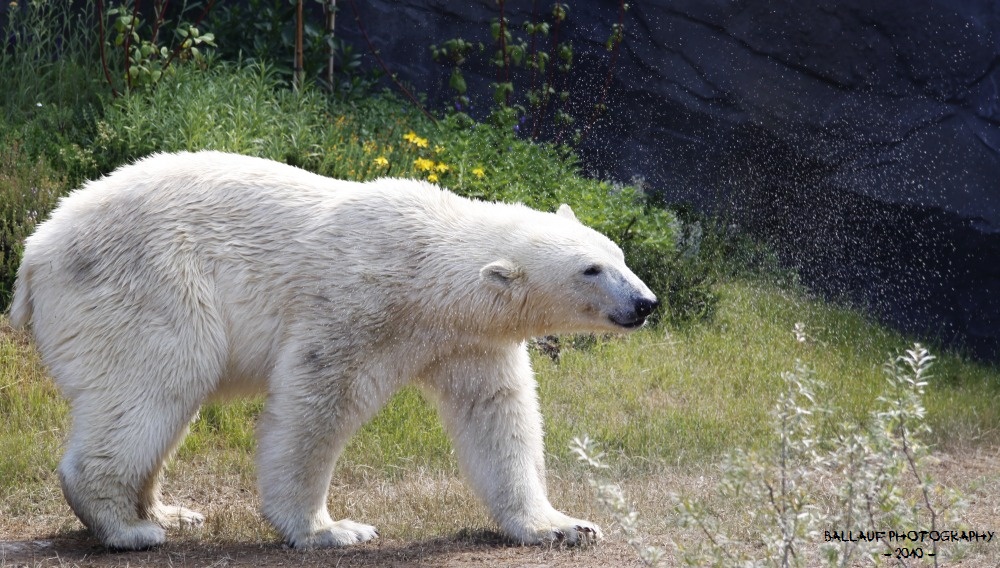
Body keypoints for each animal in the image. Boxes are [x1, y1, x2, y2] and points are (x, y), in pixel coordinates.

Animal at [13, 151, 664, 552]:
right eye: (590, 269)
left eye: (617, 252)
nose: (645, 302)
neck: (431, 270)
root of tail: (36, 250)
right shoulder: (359, 303)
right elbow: (316, 401)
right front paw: (331, 530)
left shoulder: (467, 340)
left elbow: (498, 416)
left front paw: (563, 525)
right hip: (146, 287)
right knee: (157, 381)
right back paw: (128, 529)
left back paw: (166, 511)